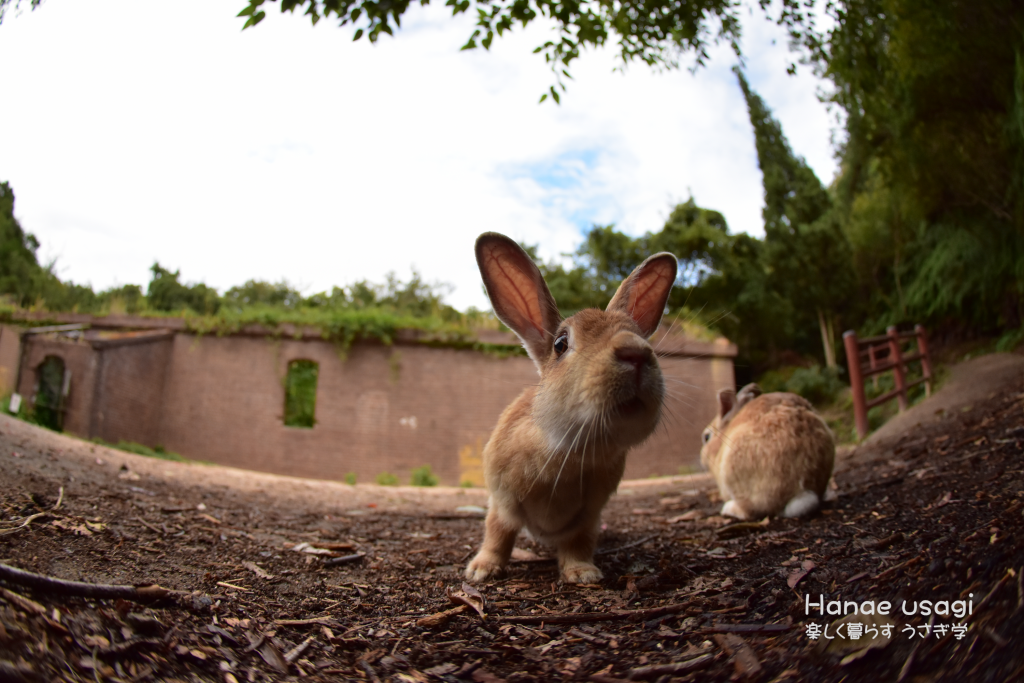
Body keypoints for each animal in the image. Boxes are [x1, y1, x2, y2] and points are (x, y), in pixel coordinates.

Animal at [466, 232, 679, 585]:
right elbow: (498, 533)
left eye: (640, 336)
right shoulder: (502, 501)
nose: (636, 353)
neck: (570, 450)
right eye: (560, 344)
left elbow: (578, 542)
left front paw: (584, 574)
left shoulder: (587, 516)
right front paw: (482, 570)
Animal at [700, 382, 835, 520]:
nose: (702, 459)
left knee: (750, 510)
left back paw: (728, 509)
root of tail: (801, 490)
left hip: (733, 472)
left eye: (706, 437)